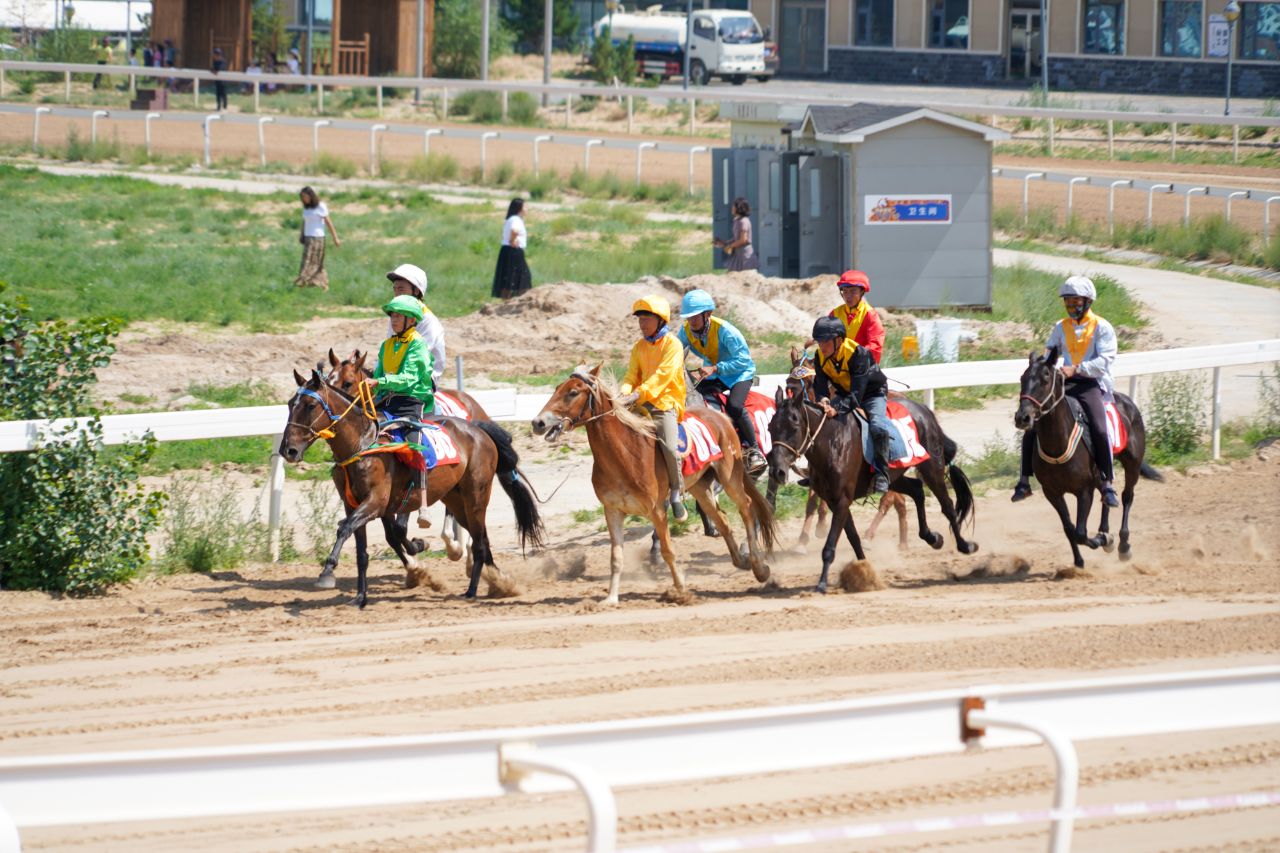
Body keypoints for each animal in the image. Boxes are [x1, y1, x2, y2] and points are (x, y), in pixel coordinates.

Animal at [282, 371, 542, 604]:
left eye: (310, 405)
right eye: (289, 404)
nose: (289, 450)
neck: (362, 446)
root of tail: (478, 428)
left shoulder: (376, 502)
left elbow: (347, 528)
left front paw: (327, 571)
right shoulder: (354, 504)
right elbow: (363, 551)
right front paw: (360, 596)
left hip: (476, 496)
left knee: (478, 542)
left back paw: (472, 590)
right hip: (456, 499)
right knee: (483, 539)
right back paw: (500, 583)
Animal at [527, 361, 773, 601]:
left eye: (573, 392)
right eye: (557, 388)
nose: (538, 422)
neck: (625, 454)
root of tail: (721, 417)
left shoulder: (657, 509)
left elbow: (667, 550)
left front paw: (680, 588)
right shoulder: (612, 510)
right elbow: (616, 557)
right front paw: (611, 597)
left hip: (730, 476)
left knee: (747, 508)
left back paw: (759, 567)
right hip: (700, 486)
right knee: (722, 520)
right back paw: (742, 560)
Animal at [768, 384, 977, 591]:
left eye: (794, 427)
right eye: (770, 428)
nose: (777, 471)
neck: (833, 442)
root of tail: (924, 409)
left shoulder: (842, 499)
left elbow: (830, 545)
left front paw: (821, 583)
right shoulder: (834, 501)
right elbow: (853, 537)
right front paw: (866, 572)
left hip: (932, 465)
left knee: (947, 505)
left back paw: (965, 545)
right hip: (893, 476)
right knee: (917, 489)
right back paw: (932, 537)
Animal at [1013, 345, 1167, 571]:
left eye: (1046, 378)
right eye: (1023, 378)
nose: (1023, 417)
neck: (1058, 444)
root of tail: (1127, 402)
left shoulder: (1084, 491)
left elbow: (1080, 532)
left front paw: (1104, 540)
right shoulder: (1052, 492)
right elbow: (1069, 528)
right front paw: (1079, 561)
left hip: (1132, 464)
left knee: (1126, 497)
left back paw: (1122, 545)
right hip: (1101, 476)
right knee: (1106, 494)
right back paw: (1105, 529)